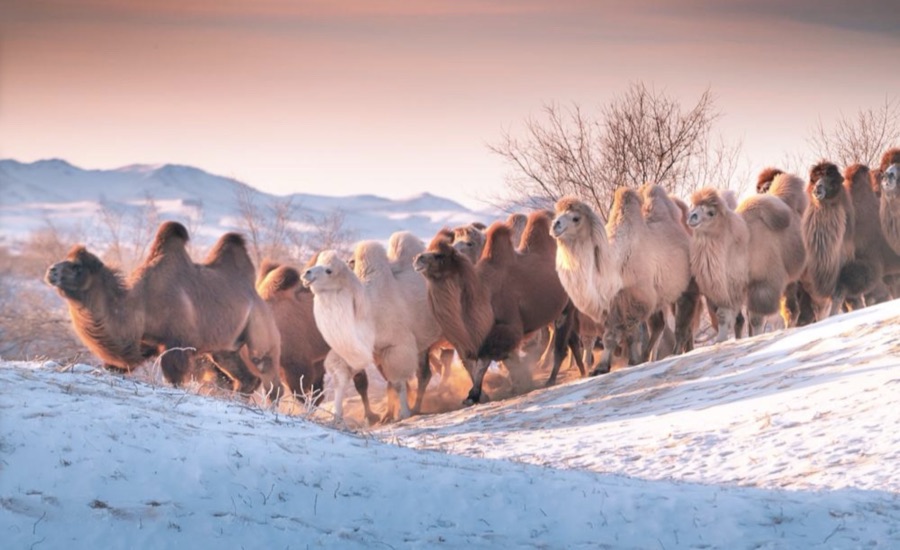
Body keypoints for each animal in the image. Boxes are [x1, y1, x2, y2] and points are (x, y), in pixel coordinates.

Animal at [46, 222, 283, 395]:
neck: (141, 303)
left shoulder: (177, 343)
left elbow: (174, 377)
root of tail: (256, 294)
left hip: (261, 333)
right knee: (246, 378)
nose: (51, 271)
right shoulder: (145, 341)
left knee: (269, 375)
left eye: (77, 267)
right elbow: (119, 364)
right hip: (225, 348)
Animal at [414, 211, 570, 405]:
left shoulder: (507, 329)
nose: (418, 258)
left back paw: (553, 375)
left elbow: (487, 360)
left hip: (568, 306)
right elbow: (492, 361)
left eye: (439, 255)